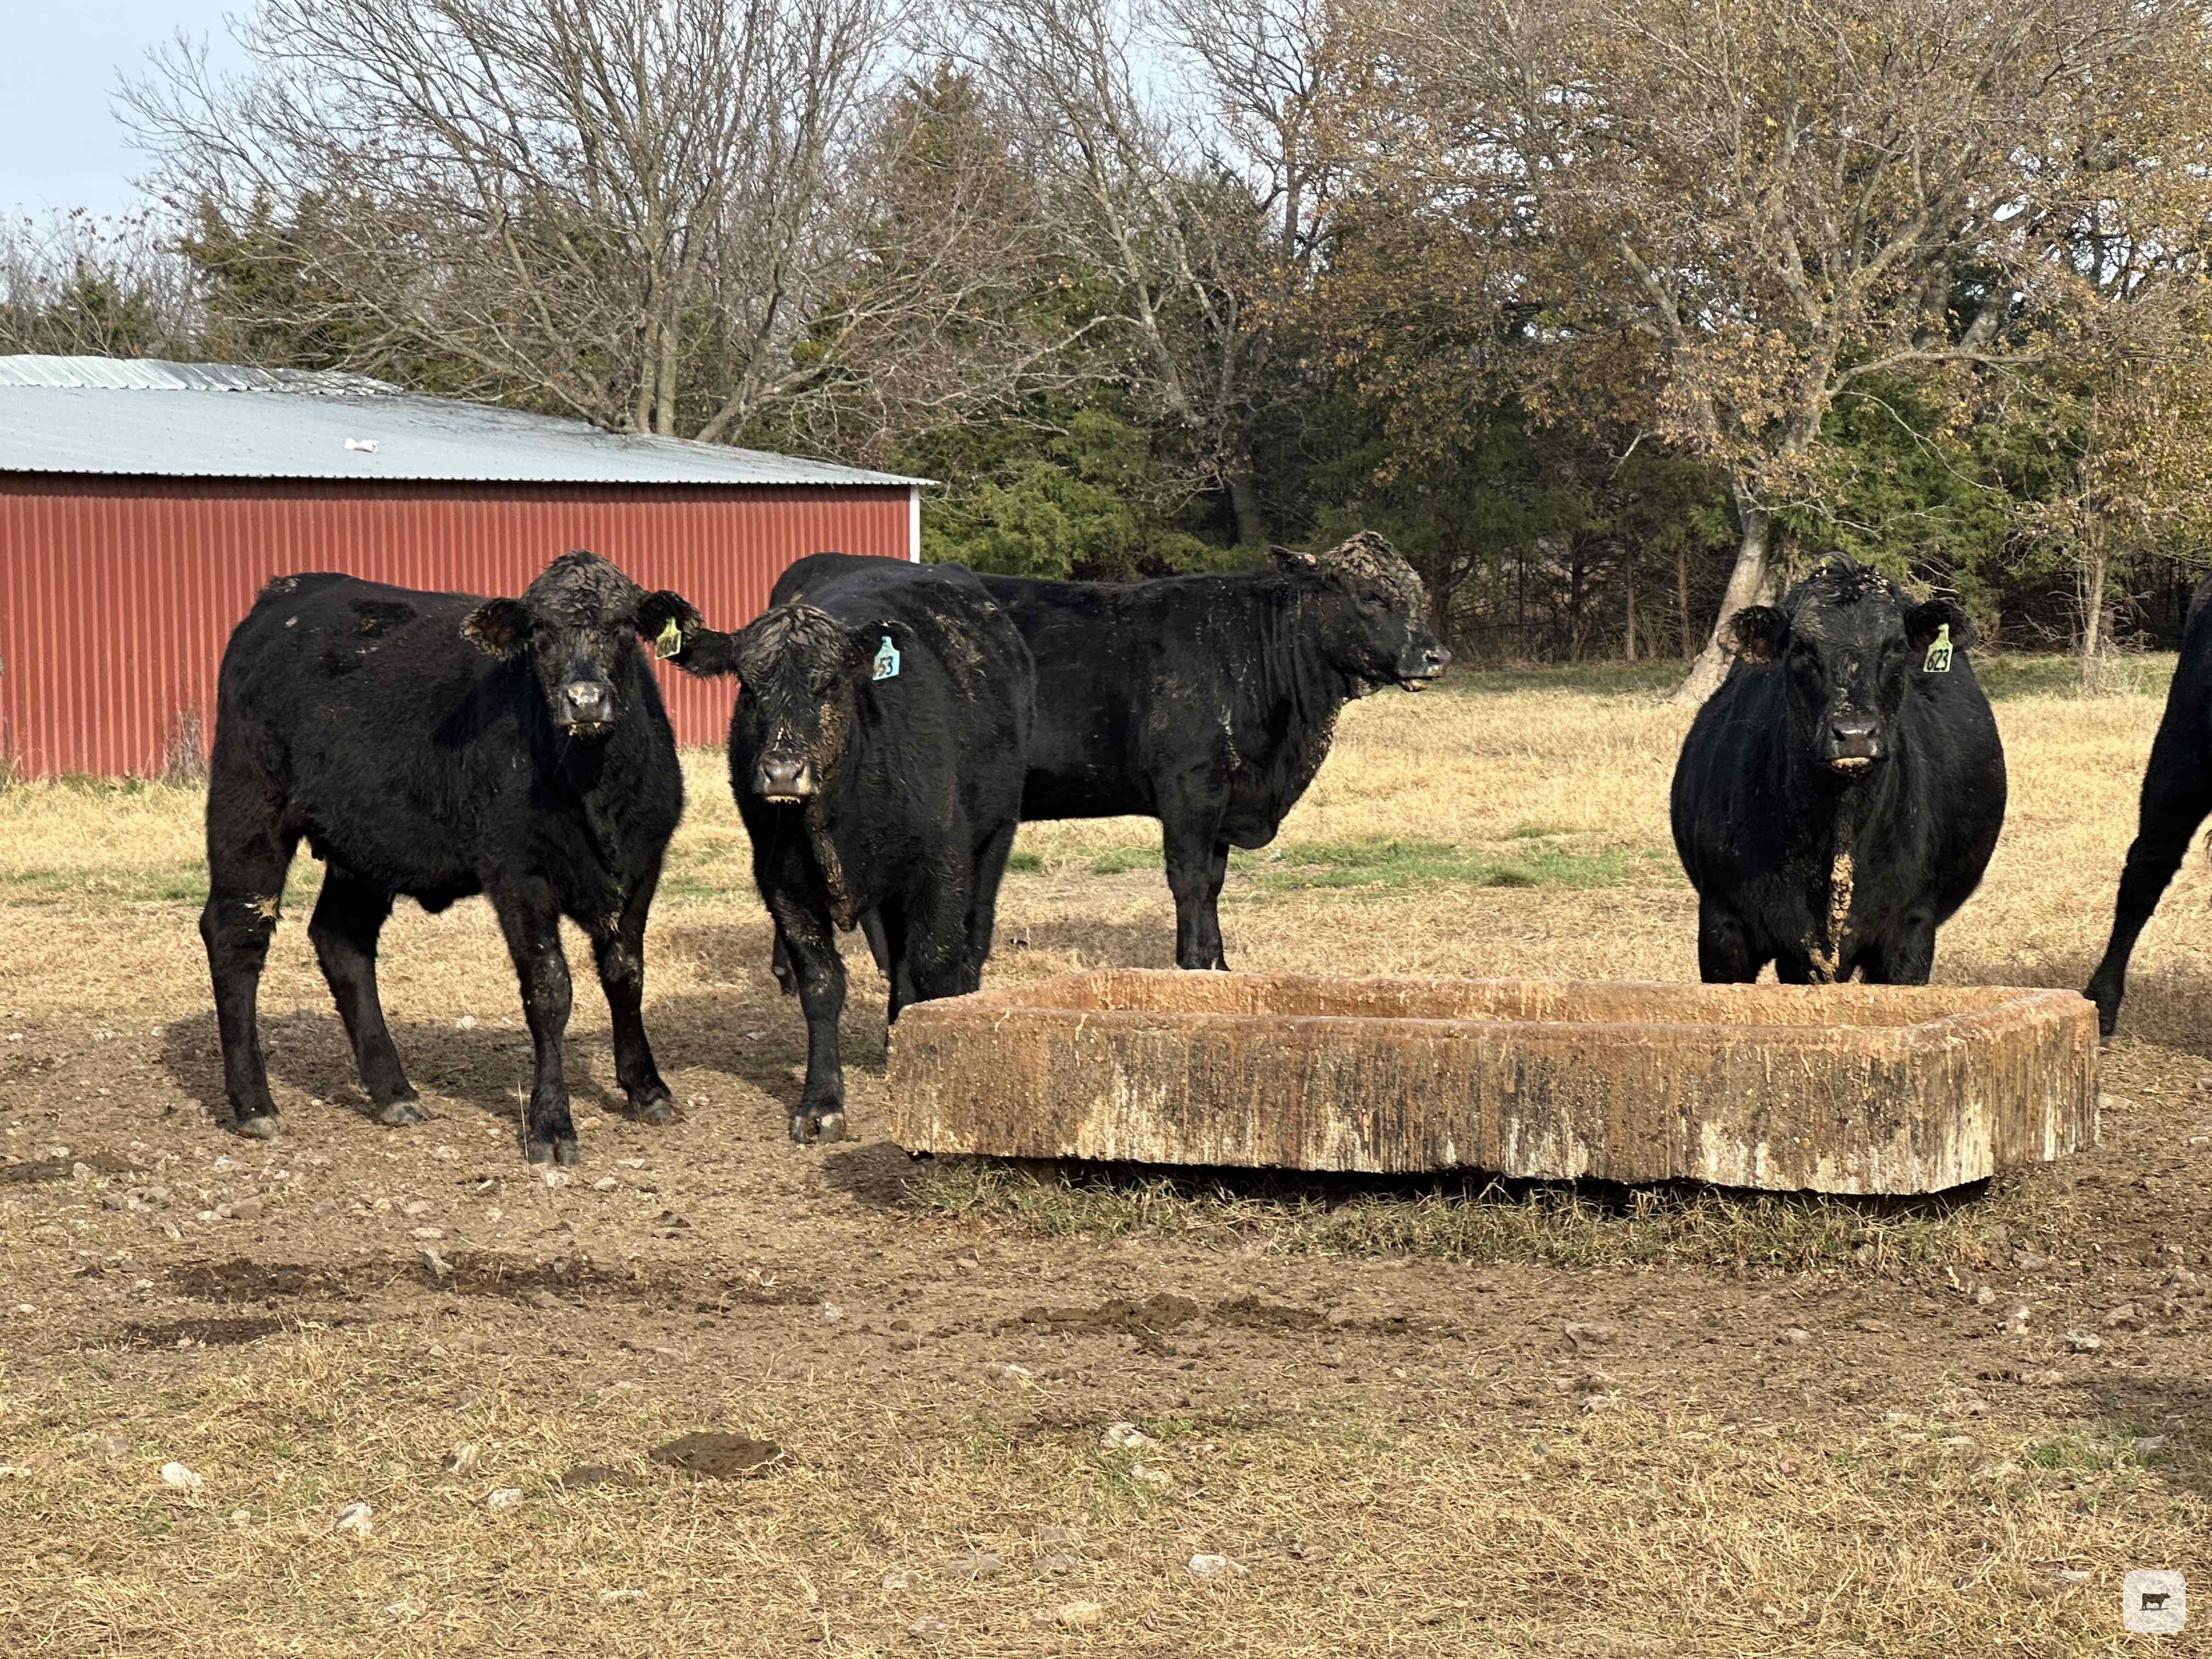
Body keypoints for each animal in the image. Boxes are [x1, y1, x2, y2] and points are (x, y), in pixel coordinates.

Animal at [198, 549, 707, 1165]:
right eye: (539, 633)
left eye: (623, 627)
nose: (584, 700)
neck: (593, 789)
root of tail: (286, 593)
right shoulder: (519, 875)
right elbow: (549, 991)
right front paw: (552, 1124)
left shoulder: (642, 867)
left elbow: (626, 975)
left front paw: (648, 1090)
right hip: (248, 806)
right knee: (237, 934)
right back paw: (255, 1104)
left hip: (365, 843)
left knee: (342, 940)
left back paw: (394, 1093)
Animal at [671, 557, 1034, 1144]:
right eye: (747, 686)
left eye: (829, 683)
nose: (782, 772)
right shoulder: (781, 881)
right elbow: (822, 985)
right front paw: (821, 1103)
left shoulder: (941, 864)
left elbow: (936, 965)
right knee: (898, 965)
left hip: (994, 837)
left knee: (969, 945)